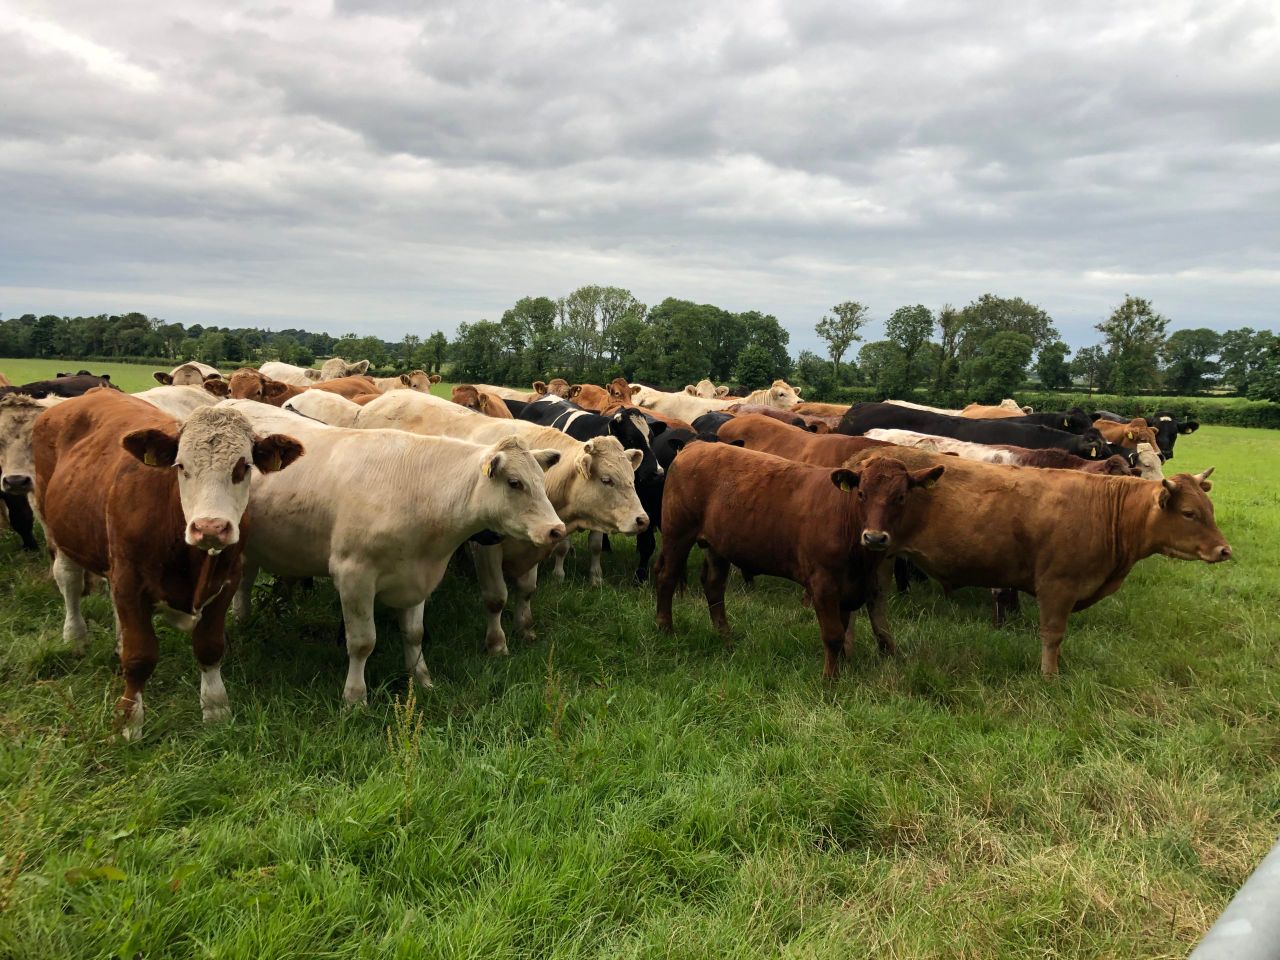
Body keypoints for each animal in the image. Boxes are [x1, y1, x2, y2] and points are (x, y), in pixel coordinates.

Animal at [34, 392, 303, 737]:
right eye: (181, 466)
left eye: (243, 467)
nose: (210, 527)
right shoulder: (130, 581)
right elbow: (140, 655)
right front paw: (130, 722)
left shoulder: (227, 580)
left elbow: (210, 647)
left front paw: (216, 710)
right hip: (55, 526)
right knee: (68, 580)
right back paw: (76, 636)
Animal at [222, 400, 565, 704]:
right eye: (514, 482)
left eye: (541, 480)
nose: (556, 530)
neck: (419, 492)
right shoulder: (353, 576)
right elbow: (363, 643)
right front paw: (355, 697)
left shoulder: (416, 576)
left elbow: (414, 633)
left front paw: (422, 679)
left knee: (245, 581)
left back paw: (242, 620)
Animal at [308, 390, 648, 653]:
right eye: (607, 480)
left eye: (632, 479)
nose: (642, 519)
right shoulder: (487, 546)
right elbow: (496, 598)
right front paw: (497, 643)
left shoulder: (537, 538)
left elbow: (527, 589)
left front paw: (525, 628)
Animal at [655, 443, 944, 678]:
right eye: (861, 494)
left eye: (901, 497)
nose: (874, 537)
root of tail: (696, 445)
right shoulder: (823, 583)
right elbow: (833, 635)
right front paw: (830, 681)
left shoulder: (850, 588)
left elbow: (842, 630)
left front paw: (842, 670)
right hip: (677, 533)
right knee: (667, 577)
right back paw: (665, 628)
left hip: (718, 546)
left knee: (714, 586)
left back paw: (725, 637)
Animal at [844, 446, 1230, 674]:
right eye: (1189, 513)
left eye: (1210, 509)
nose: (1224, 550)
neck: (1104, 507)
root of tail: (866, 454)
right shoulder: (1058, 586)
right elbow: (1053, 634)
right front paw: (1050, 676)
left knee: (874, 602)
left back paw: (887, 650)